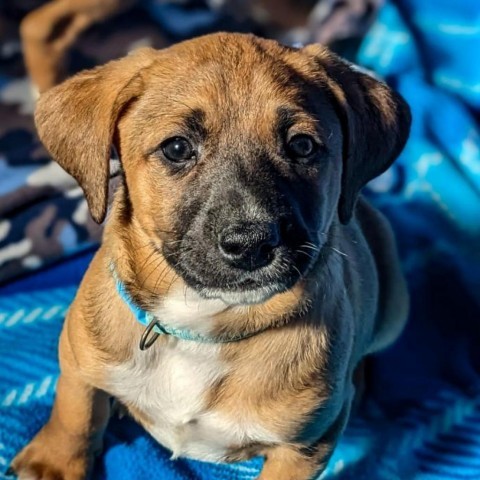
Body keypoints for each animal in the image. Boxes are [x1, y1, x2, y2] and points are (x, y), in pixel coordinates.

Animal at [9, 31, 410, 478]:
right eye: (177, 148)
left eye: (303, 145)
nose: (251, 244)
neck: (200, 327)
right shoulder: (78, 358)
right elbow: (74, 411)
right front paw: (55, 461)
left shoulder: (306, 446)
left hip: (395, 307)